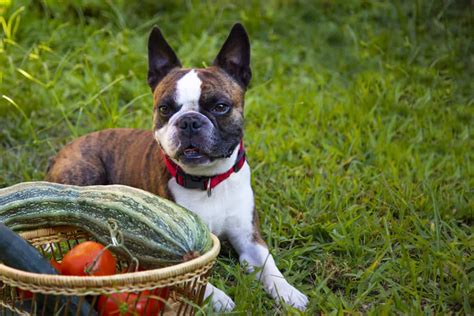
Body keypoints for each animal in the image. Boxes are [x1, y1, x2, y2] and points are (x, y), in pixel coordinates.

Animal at [46, 22, 308, 312]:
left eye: (220, 107)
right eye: (164, 108)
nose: (190, 121)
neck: (207, 182)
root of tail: (63, 151)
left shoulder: (249, 238)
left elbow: (269, 263)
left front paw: (288, 292)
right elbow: (193, 275)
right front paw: (219, 297)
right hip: (85, 174)